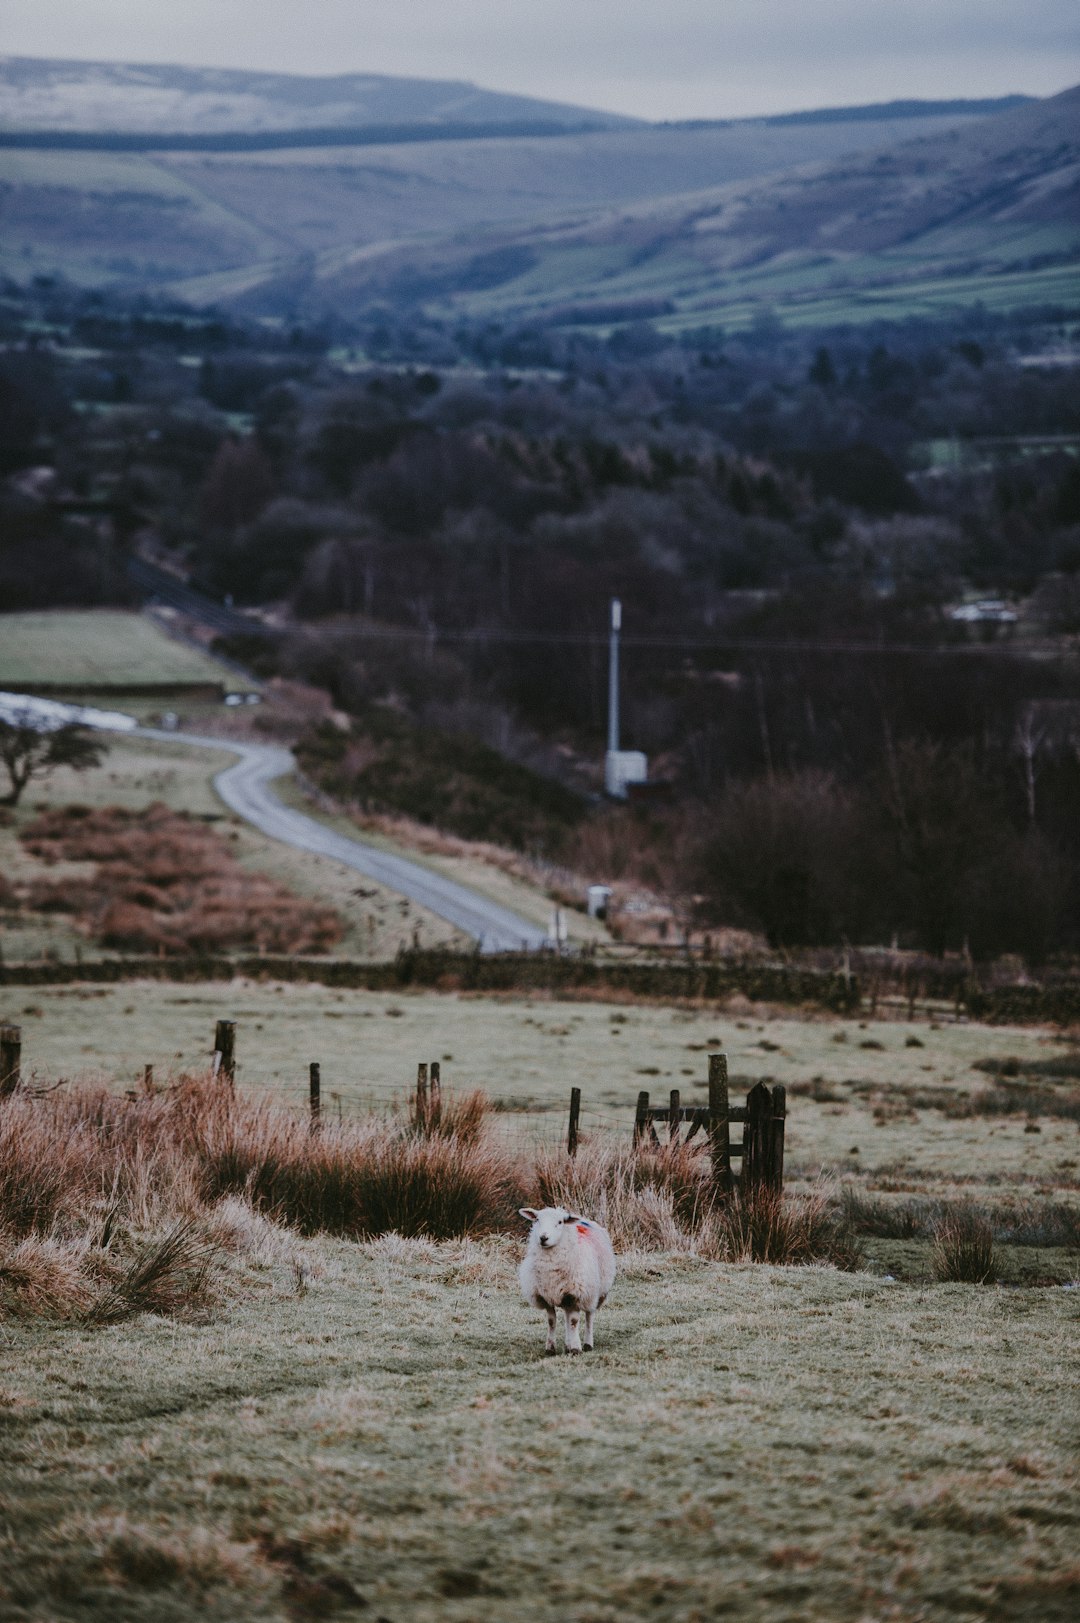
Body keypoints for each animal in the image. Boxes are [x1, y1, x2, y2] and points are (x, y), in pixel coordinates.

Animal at [516, 1207, 613, 1356]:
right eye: (537, 1219)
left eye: (560, 1222)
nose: (543, 1238)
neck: (550, 1267)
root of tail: (582, 1218)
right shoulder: (546, 1296)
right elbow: (552, 1321)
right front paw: (550, 1348)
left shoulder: (575, 1294)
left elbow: (573, 1322)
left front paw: (575, 1349)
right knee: (567, 1316)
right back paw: (568, 1345)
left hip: (594, 1293)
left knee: (589, 1316)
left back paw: (587, 1344)